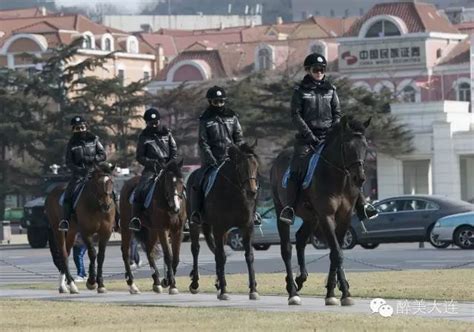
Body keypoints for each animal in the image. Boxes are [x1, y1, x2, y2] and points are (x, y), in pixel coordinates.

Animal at [45, 162, 116, 294]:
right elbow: (92, 253)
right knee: (63, 254)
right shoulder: (86, 232)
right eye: (98, 183)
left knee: (67, 253)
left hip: (71, 232)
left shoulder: (105, 233)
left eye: (111, 182)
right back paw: (71, 284)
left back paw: (63, 286)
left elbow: (101, 256)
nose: (106, 205)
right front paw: (91, 282)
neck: (96, 206)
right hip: (59, 231)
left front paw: (101, 284)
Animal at [119, 160, 186, 294]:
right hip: (126, 227)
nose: (176, 208)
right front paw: (170, 282)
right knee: (125, 252)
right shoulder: (162, 229)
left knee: (149, 251)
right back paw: (132, 284)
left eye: (181, 181)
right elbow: (168, 255)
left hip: (152, 230)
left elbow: (175, 258)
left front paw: (170, 283)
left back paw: (156, 282)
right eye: (168, 182)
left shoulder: (177, 230)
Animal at [187, 143, 260, 300]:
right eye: (241, 166)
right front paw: (224, 291)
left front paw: (253, 289)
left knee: (217, 253)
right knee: (196, 249)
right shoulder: (218, 228)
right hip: (194, 224)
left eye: (256, 165)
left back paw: (219, 283)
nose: (252, 192)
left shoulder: (247, 228)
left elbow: (249, 256)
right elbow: (220, 256)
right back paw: (195, 283)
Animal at [270, 116, 370, 306]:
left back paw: (301, 278)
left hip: (311, 218)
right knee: (286, 249)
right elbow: (336, 253)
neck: (338, 178)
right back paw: (292, 291)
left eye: (365, 147)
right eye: (348, 147)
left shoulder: (343, 217)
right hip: (282, 212)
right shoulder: (326, 216)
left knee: (301, 239)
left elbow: (336, 251)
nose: (360, 178)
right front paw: (337, 292)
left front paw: (339, 290)